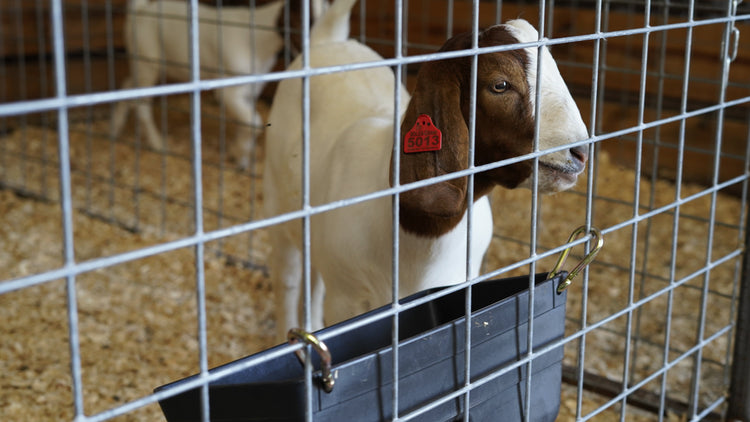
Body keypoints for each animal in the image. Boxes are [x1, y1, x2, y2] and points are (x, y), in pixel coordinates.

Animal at [111, 0, 314, 169]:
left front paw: (239, 155)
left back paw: (116, 128)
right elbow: (253, 122)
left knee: (127, 86)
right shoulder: (229, 91)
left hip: (141, 67)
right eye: (307, 20)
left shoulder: (252, 87)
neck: (256, 39)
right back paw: (158, 144)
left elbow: (245, 120)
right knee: (141, 102)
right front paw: (240, 157)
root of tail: (139, 10)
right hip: (147, 63)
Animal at [263, 0, 589, 339]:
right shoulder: (347, 300)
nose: (580, 152)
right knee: (288, 279)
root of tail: (328, 40)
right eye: (500, 84)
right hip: (277, 204)